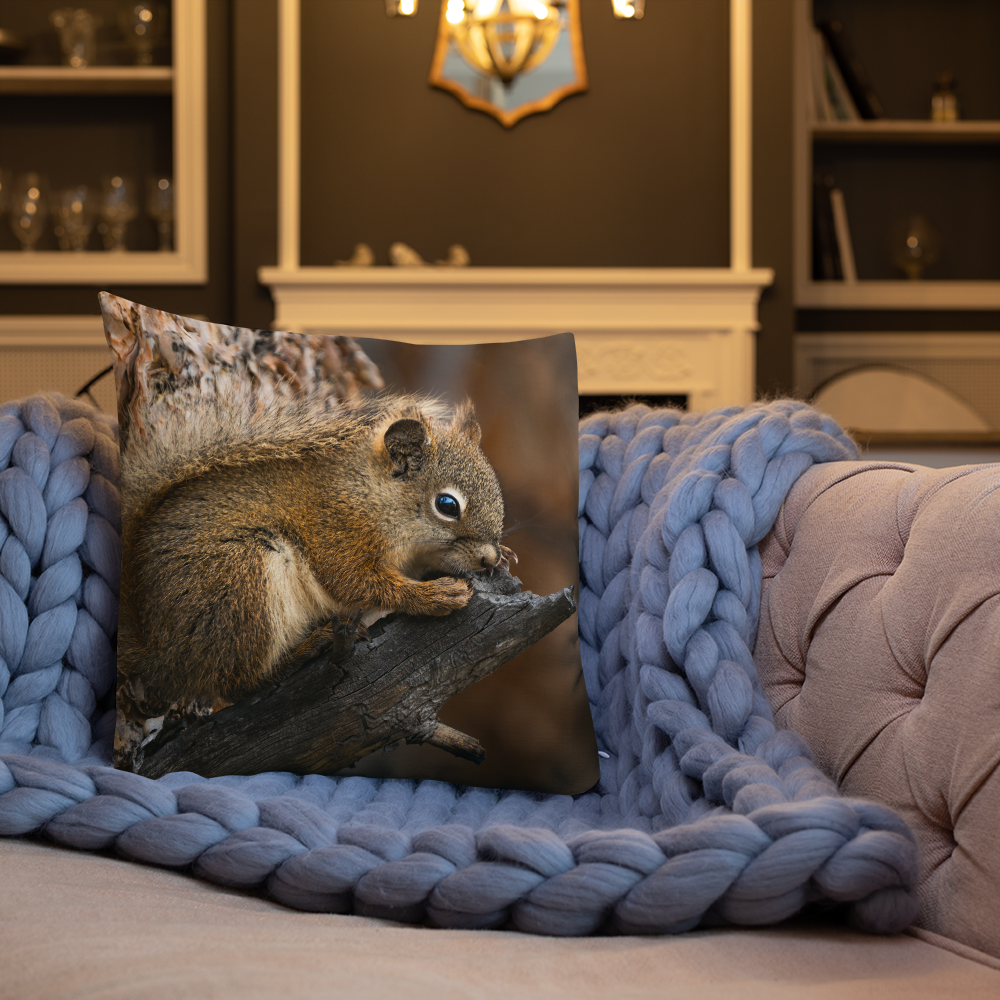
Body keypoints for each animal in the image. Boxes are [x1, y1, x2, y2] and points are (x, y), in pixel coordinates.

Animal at [117, 389, 515, 712]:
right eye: (447, 505)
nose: (488, 558)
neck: (371, 496)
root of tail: (161, 653)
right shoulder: (336, 530)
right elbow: (354, 583)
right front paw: (435, 595)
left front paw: (503, 556)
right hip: (241, 581)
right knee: (236, 684)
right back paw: (306, 650)